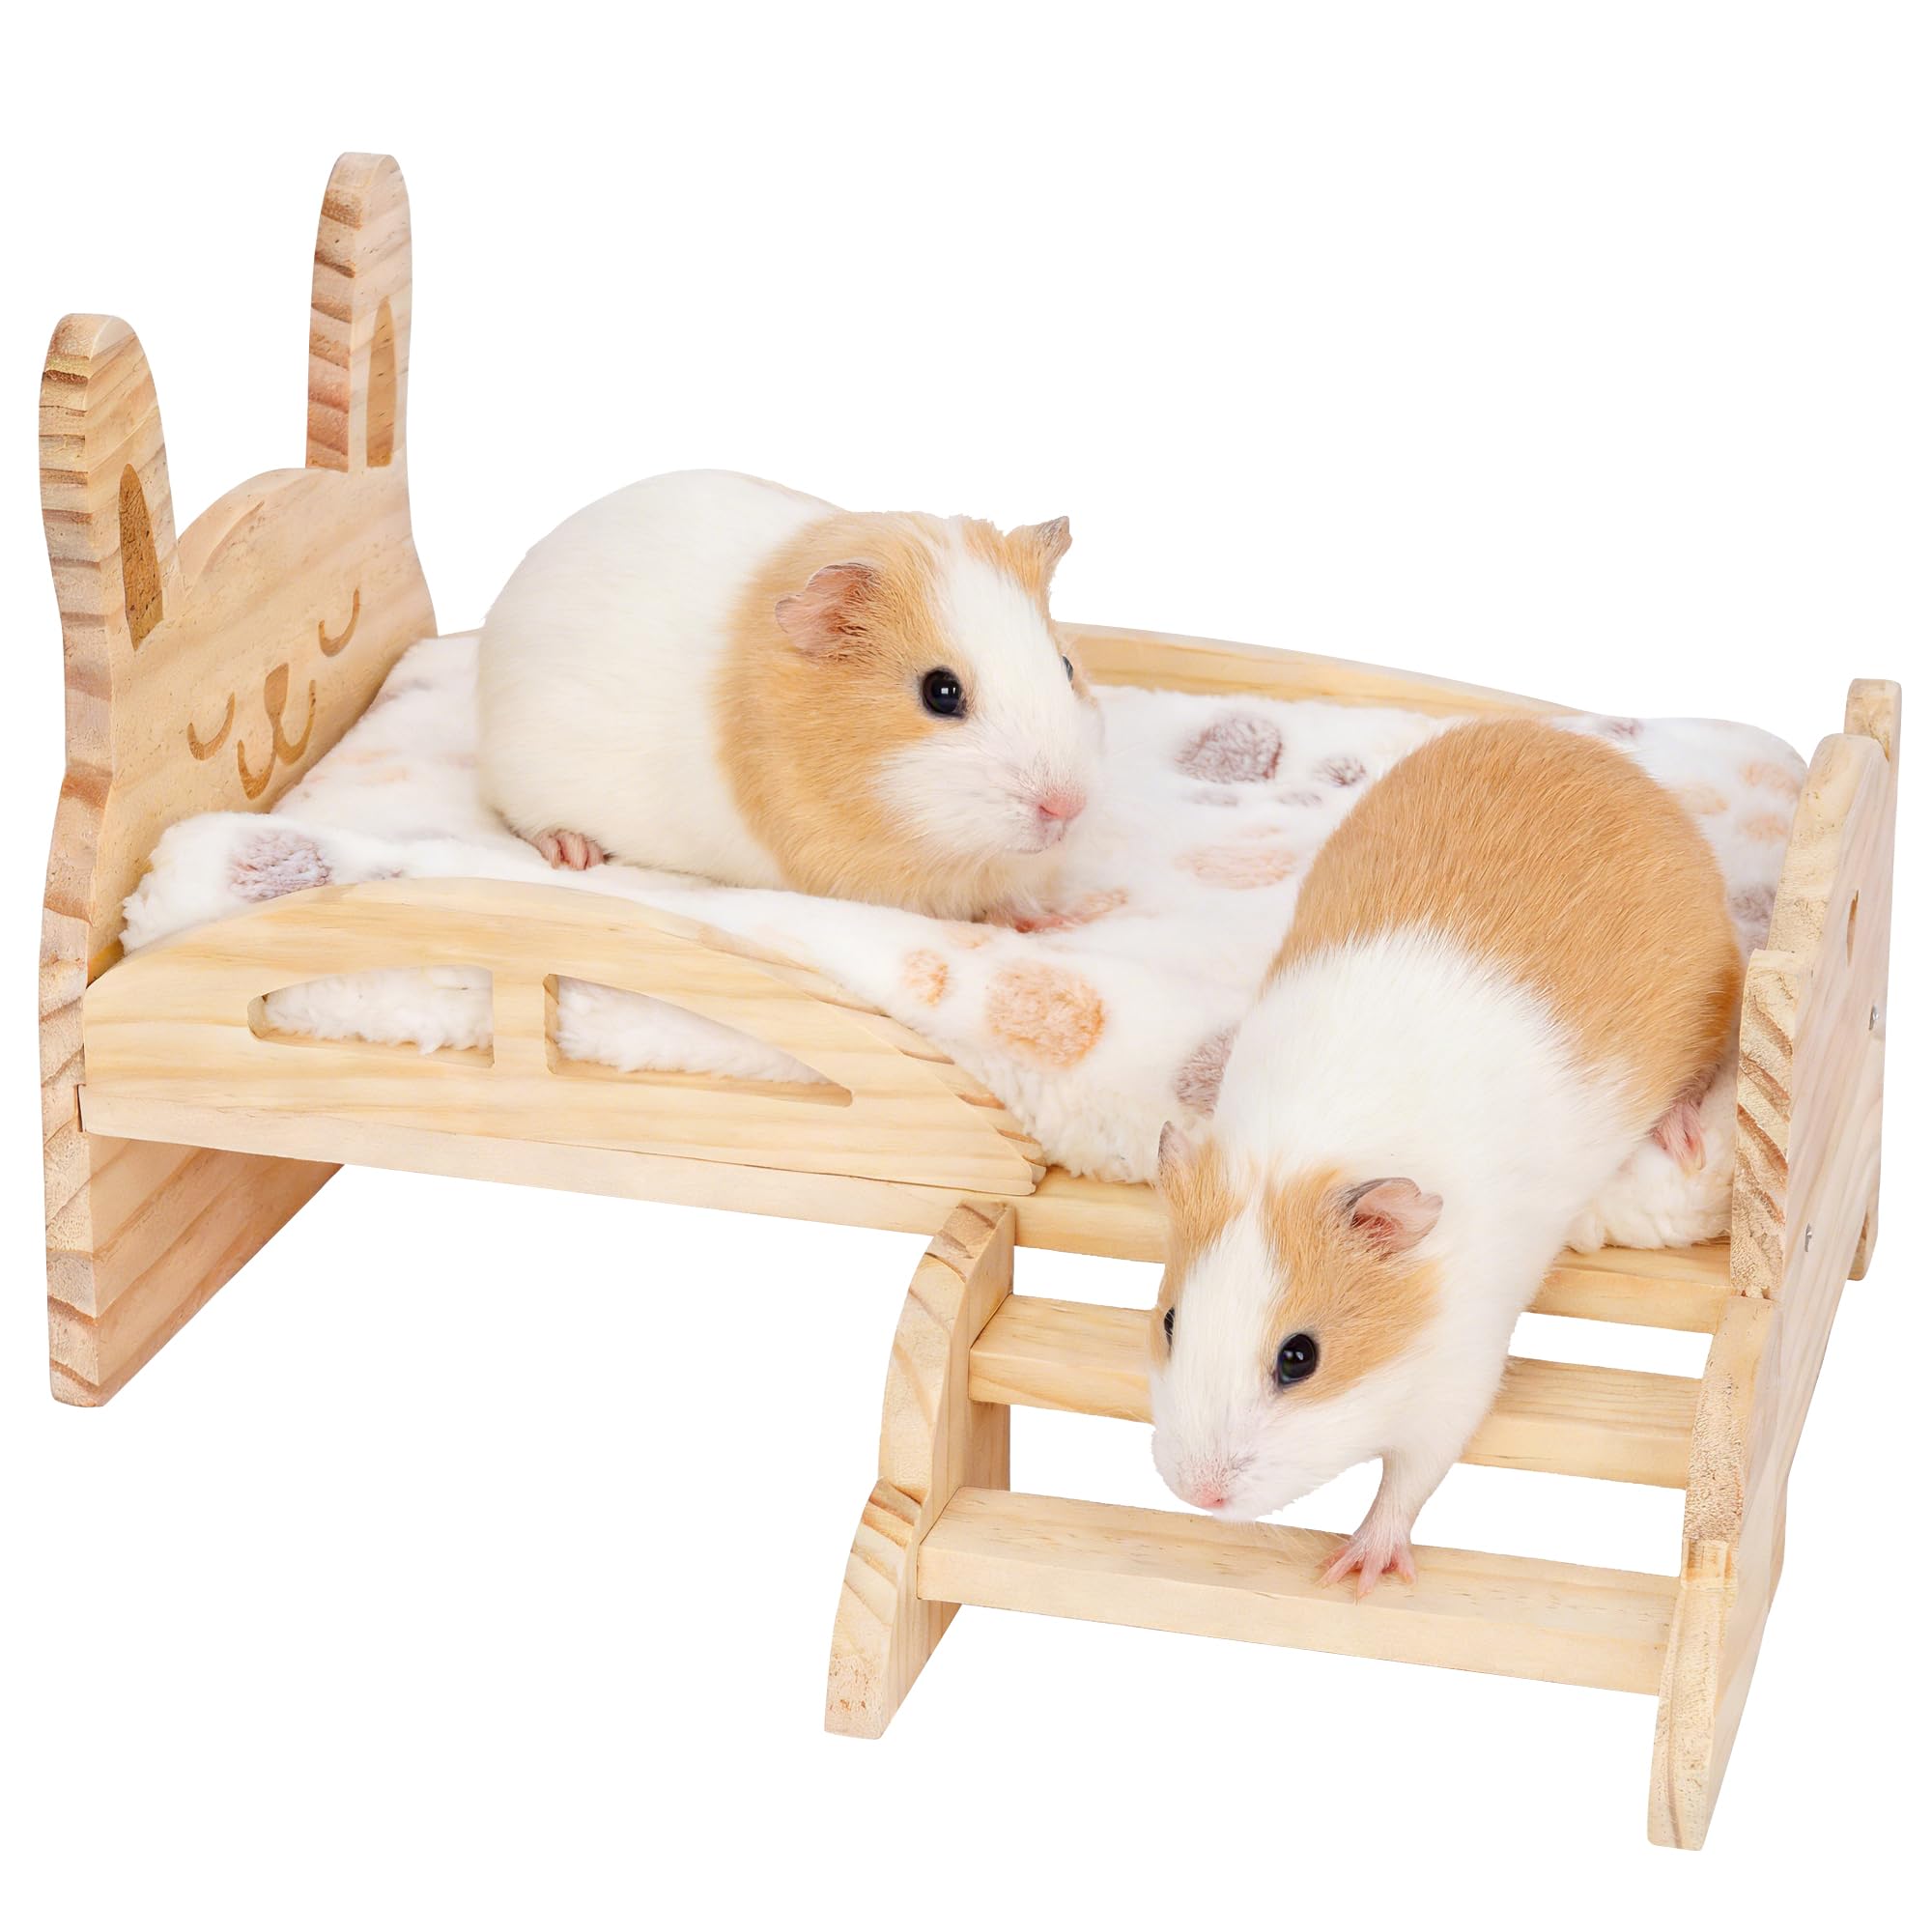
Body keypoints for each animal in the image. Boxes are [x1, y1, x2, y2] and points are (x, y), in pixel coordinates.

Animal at [1148, 719, 1742, 1592]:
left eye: (1301, 1358)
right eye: (1169, 1320)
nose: (1199, 1495)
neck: (1301, 1157)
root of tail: (1582, 748)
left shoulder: (1460, 1376)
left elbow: (1410, 1477)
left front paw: (1354, 1572)